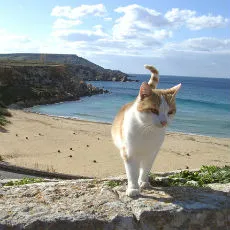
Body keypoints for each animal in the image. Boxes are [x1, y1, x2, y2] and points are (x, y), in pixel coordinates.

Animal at [111, 65, 181, 198]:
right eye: (154, 110)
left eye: (170, 112)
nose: (164, 122)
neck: (148, 131)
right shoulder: (129, 153)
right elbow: (132, 172)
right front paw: (133, 188)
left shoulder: (152, 153)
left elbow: (146, 169)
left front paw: (143, 182)